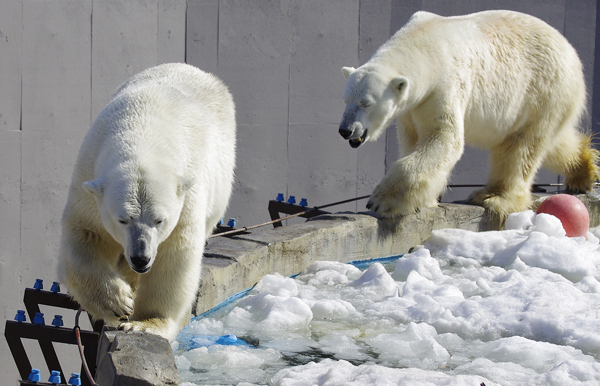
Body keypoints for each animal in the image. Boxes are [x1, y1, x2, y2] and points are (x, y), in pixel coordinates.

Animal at [58, 61, 237, 340]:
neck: (144, 130)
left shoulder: (188, 192)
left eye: (159, 220)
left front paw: (145, 322)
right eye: (122, 219)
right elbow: (87, 234)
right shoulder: (89, 176)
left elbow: (175, 253)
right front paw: (118, 302)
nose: (141, 258)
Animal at [340, 10, 596, 222]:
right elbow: (413, 141)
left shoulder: (444, 85)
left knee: (522, 148)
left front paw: (382, 200)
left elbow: (444, 138)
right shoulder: (412, 109)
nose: (345, 130)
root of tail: (571, 51)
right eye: (345, 99)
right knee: (549, 143)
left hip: (542, 91)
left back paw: (493, 196)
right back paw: (583, 171)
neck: (424, 43)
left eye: (366, 103)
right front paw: (425, 200)